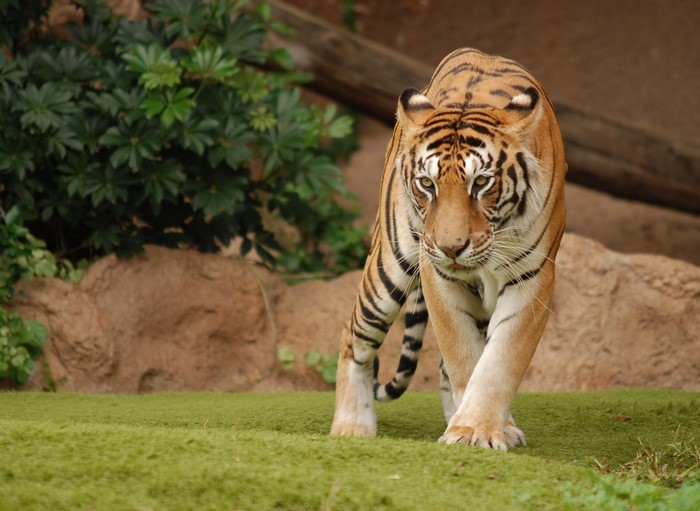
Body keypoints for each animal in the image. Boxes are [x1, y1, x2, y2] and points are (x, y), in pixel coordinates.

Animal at [330, 48, 566, 451]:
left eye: (481, 182)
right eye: (427, 184)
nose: (451, 247)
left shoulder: (532, 277)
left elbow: (499, 361)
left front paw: (476, 427)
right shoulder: (438, 275)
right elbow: (462, 355)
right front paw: (470, 430)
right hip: (389, 265)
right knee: (354, 334)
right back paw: (351, 427)